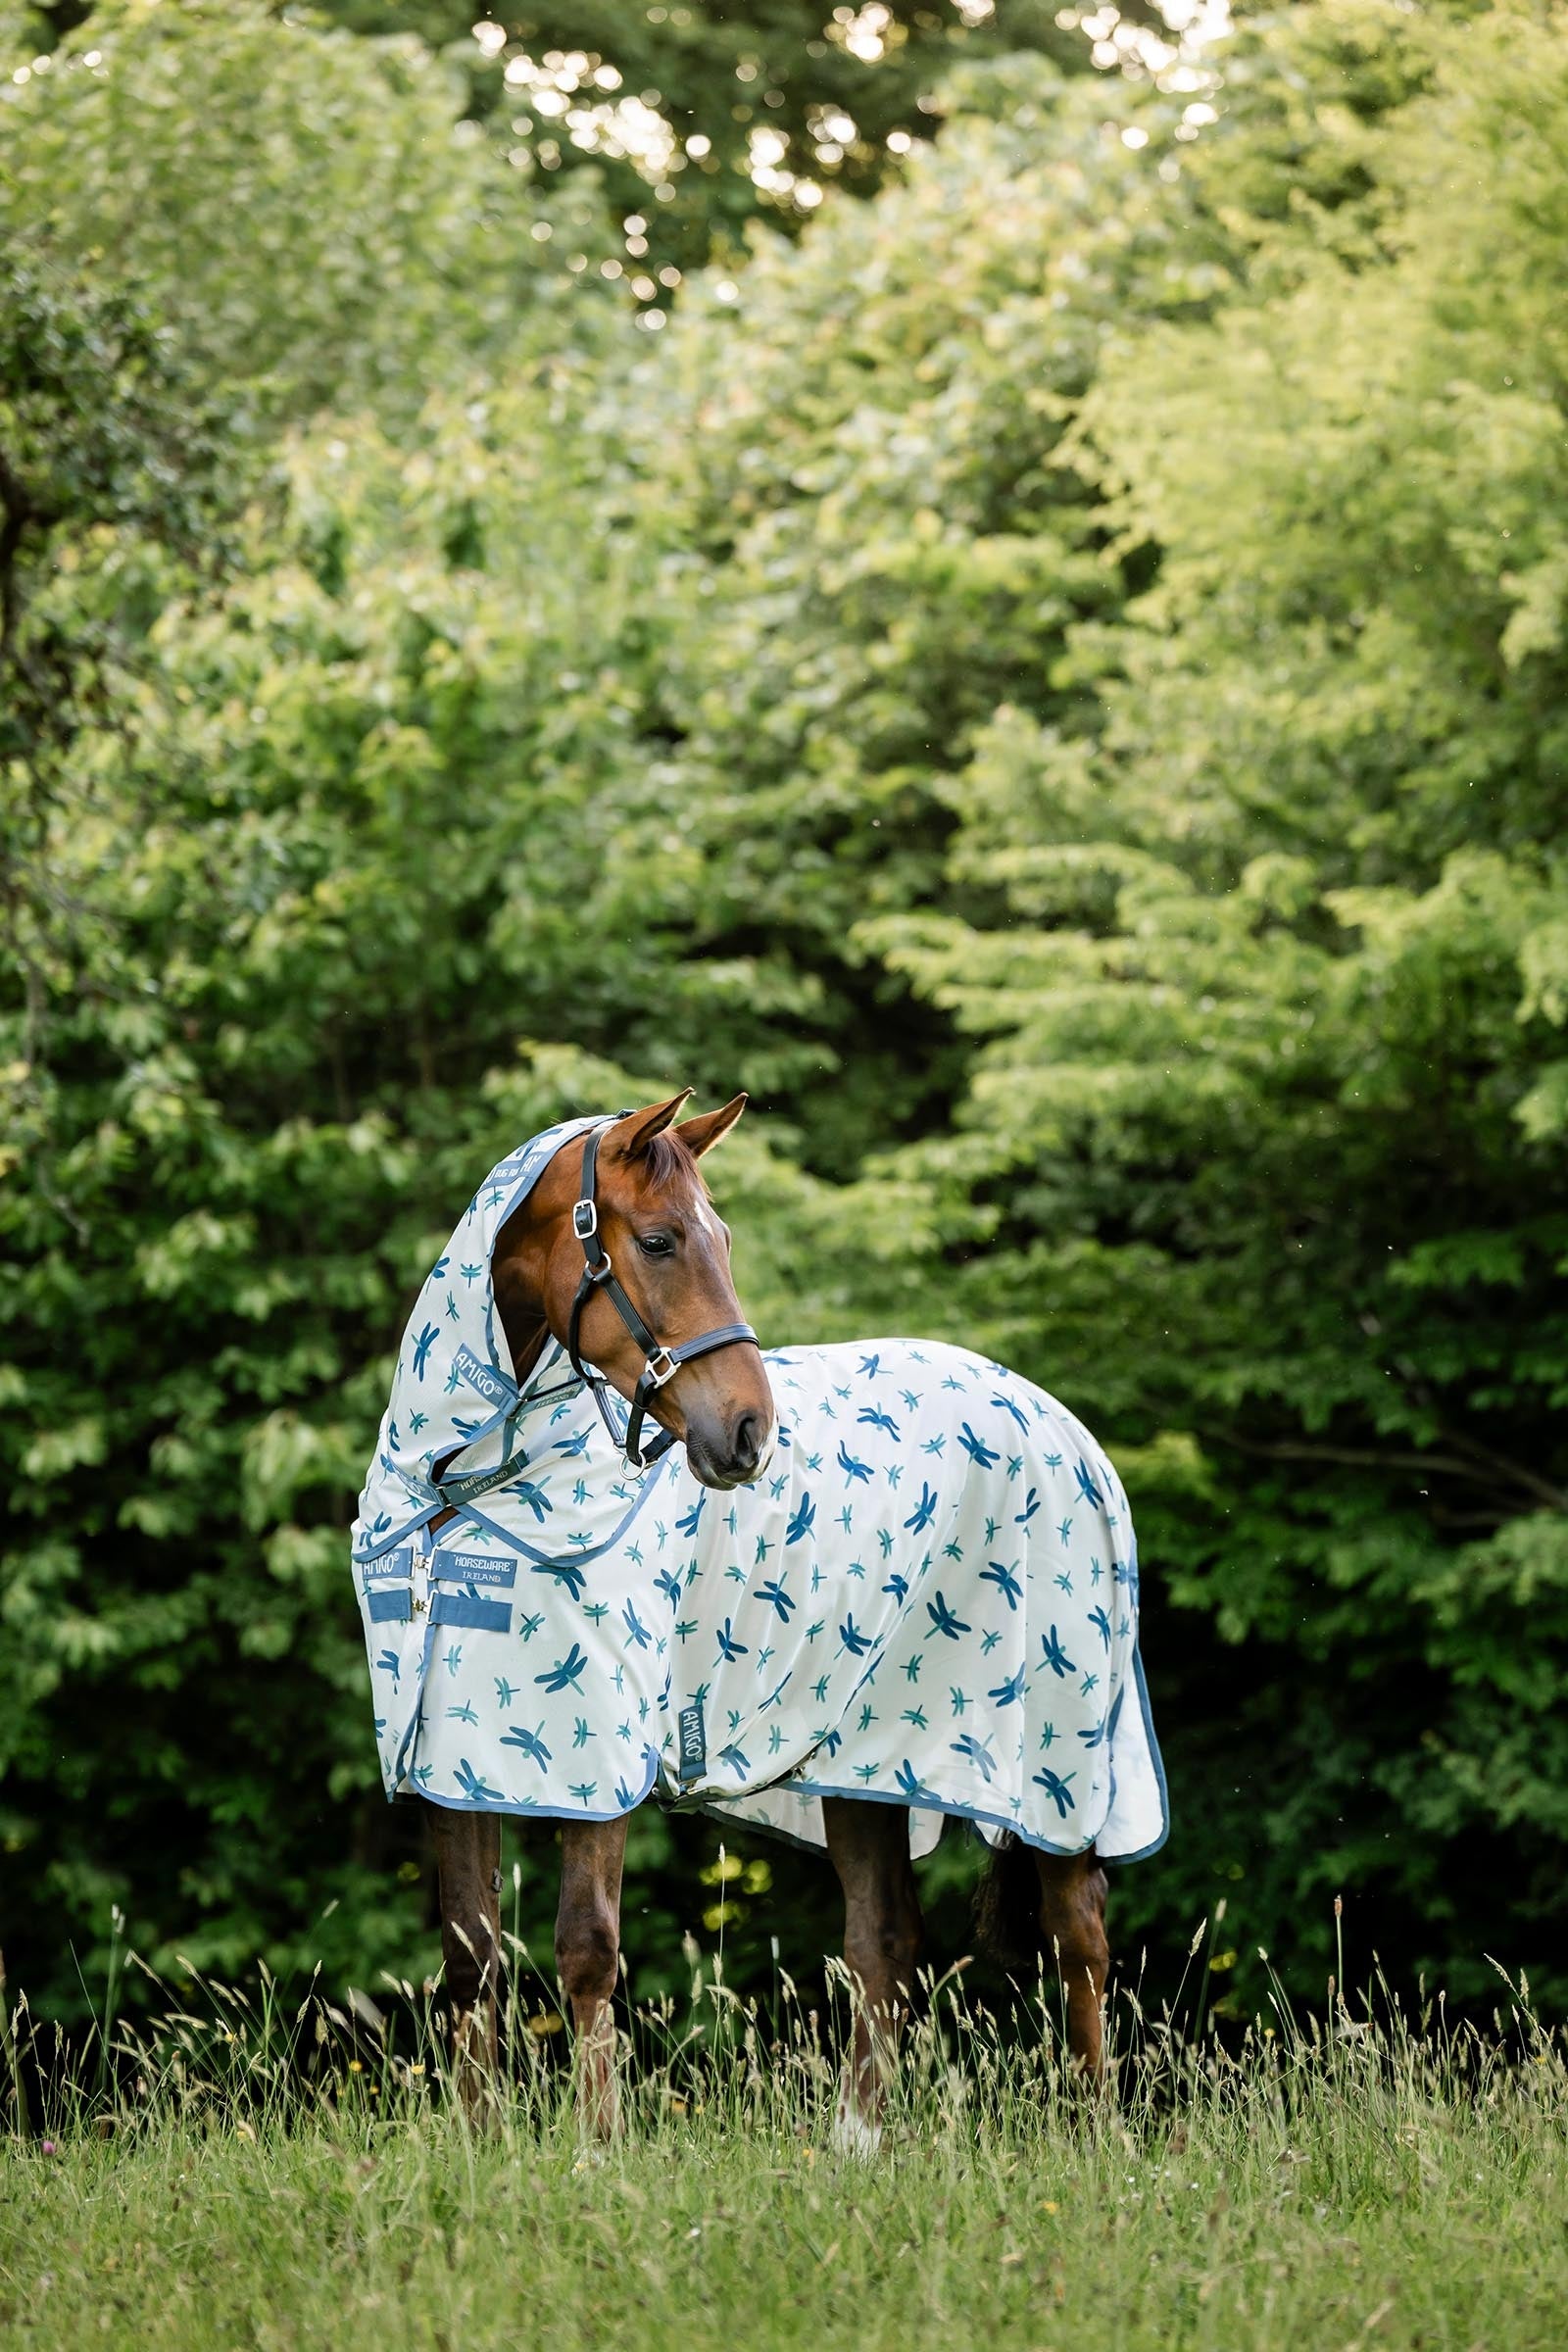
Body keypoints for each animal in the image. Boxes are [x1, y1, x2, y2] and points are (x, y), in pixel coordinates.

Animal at [351, 1093, 1167, 2140]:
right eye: (659, 1240)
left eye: (723, 1239)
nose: (747, 1432)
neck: (462, 1495)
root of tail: (1062, 1427)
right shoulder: (452, 1768)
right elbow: (471, 1958)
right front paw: (477, 2142)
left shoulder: (601, 1763)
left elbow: (586, 1948)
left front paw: (595, 2149)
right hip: (866, 1760)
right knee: (885, 1936)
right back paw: (855, 2144)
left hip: (1053, 1772)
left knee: (1079, 1934)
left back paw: (1096, 2132)